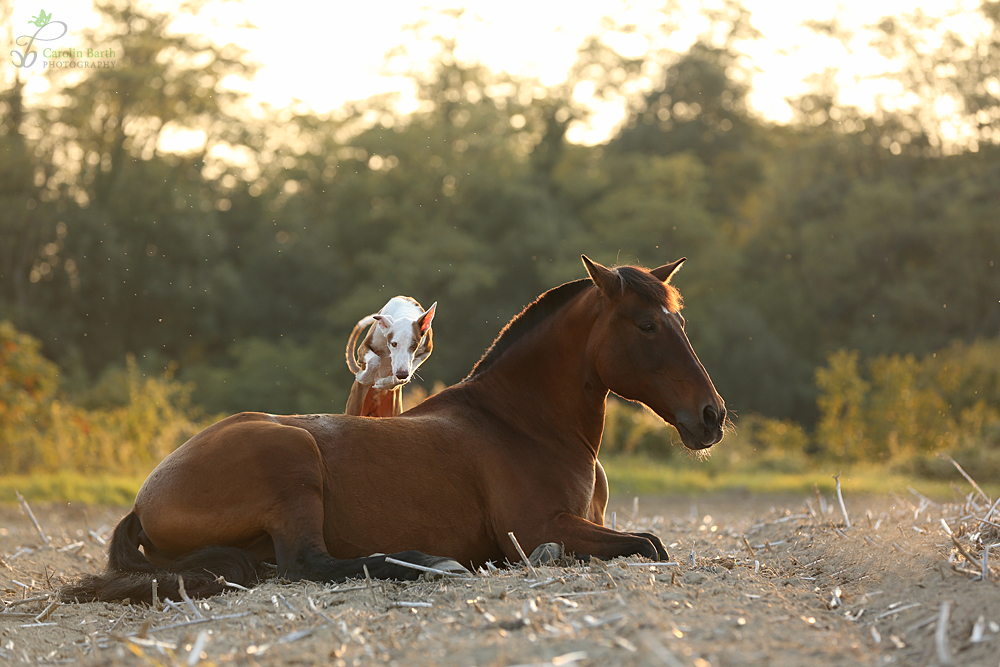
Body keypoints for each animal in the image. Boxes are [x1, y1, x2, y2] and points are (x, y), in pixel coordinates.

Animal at [64, 256, 728, 604]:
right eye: (646, 325)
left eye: (677, 319)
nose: (711, 416)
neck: (523, 424)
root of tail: (146, 498)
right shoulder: (539, 526)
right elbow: (649, 544)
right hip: (293, 461)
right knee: (310, 564)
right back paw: (430, 564)